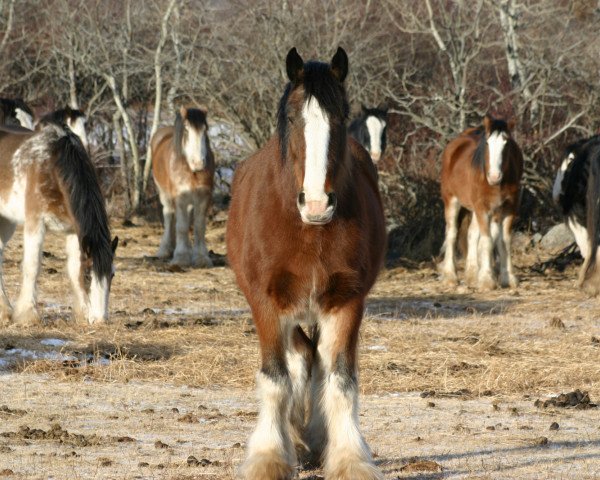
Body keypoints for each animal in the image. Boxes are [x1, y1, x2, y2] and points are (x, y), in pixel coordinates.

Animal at [0, 122, 118, 324]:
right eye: (89, 275)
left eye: (112, 275)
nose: (100, 320)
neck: (51, 166)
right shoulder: (35, 222)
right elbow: (32, 266)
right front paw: (27, 315)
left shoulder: (74, 230)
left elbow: (74, 269)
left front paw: (83, 312)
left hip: (6, 220)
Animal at [152, 106, 216, 268]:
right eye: (186, 129)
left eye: (205, 129)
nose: (198, 163)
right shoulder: (180, 198)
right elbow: (181, 226)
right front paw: (181, 257)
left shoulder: (203, 198)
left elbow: (199, 226)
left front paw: (201, 257)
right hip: (165, 195)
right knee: (169, 216)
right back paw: (165, 250)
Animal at [225, 46, 384, 480]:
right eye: (295, 118)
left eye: (340, 117)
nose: (316, 203)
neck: (308, 231)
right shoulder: (266, 303)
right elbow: (276, 379)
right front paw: (269, 457)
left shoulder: (347, 302)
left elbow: (341, 381)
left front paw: (349, 458)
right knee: (299, 359)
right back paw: (296, 437)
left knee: (316, 361)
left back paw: (313, 436)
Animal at [438, 114, 524, 290]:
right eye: (487, 143)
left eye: (506, 143)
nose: (494, 176)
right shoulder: (483, 209)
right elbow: (487, 240)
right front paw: (486, 280)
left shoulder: (508, 210)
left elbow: (504, 241)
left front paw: (508, 277)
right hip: (452, 201)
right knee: (451, 233)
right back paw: (450, 276)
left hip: (475, 209)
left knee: (471, 234)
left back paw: (472, 274)